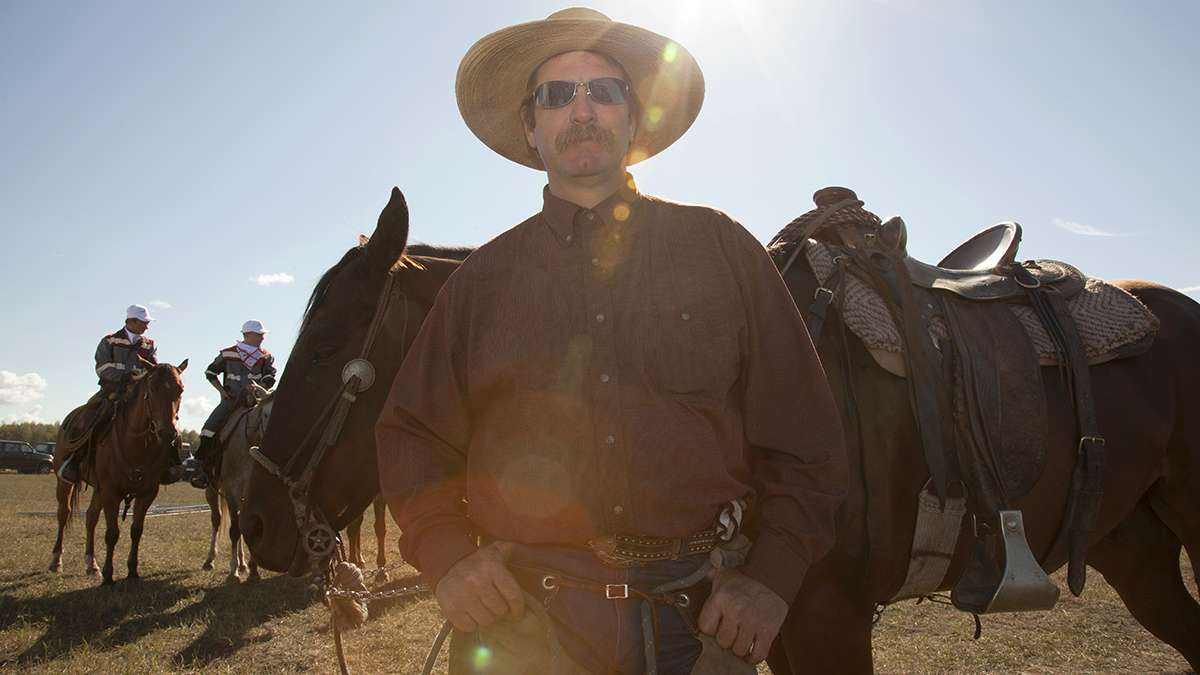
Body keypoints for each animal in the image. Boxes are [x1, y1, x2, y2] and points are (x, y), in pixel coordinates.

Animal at [48, 357, 187, 583]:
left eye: (180, 389)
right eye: (152, 389)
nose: (168, 433)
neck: (136, 444)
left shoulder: (147, 493)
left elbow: (136, 530)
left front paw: (132, 570)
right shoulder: (111, 492)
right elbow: (112, 533)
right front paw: (108, 575)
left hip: (98, 489)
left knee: (91, 518)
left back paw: (91, 563)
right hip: (66, 482)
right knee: (64, 513)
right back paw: (56, 560)